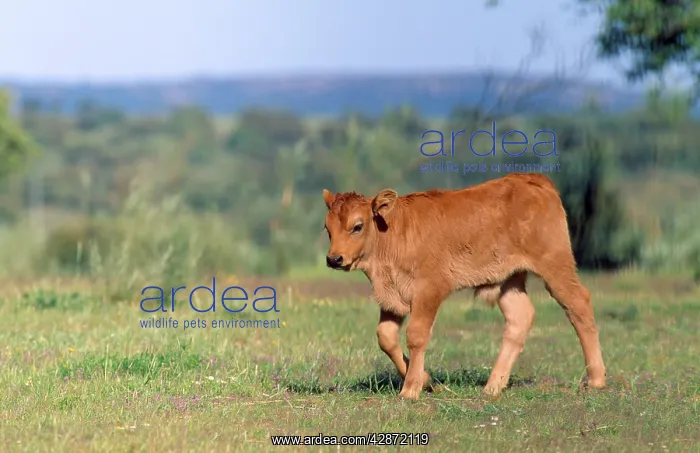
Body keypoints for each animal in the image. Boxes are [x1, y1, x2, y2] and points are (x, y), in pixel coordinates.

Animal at [321, 172, 606, 400]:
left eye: (357, 226)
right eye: (328, 228)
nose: (334, 259)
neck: (392, 230)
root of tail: (535, 180)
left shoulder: (428, 291)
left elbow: (416, 335)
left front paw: (410, 390)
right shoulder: (393, 297)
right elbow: (386, 337)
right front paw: (428, 382)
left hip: (555, 266)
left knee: (578, 304)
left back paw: (596, 380)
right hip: (510, 280)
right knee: (520, 317)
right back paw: (492, 387)